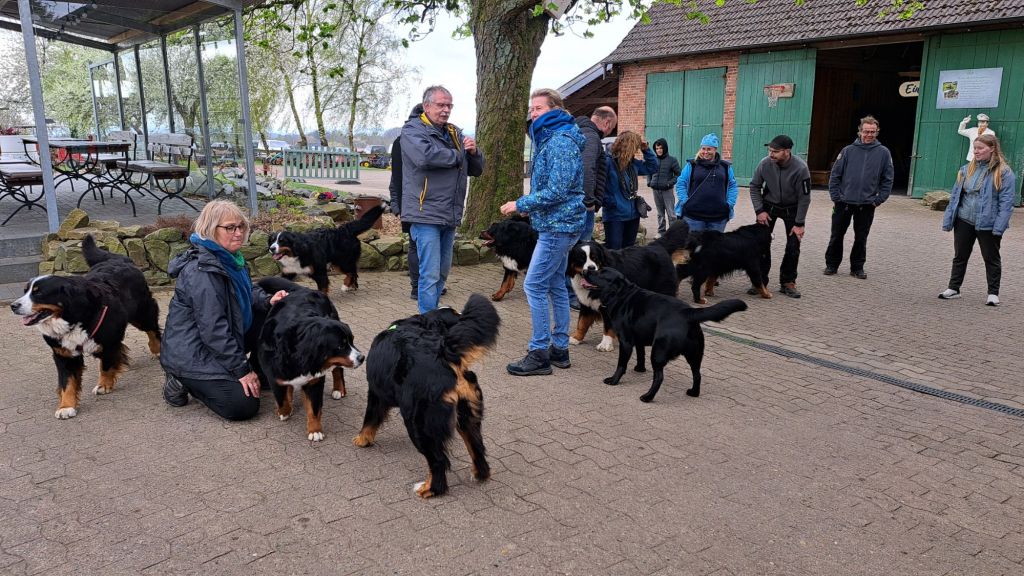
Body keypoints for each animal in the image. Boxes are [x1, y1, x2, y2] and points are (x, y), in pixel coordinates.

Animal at [10, 235, 161, 419]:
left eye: (38, 293)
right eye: (25, 291)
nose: (13, 306)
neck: (71, 317)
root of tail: (120, 259)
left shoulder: (108, 342)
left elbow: (106, 365)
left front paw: (104, 385)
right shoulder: (64, 354)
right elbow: (67, 382)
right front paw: (66, 406)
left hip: (142, 313)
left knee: (152, 330)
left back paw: (157, 350)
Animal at [254, 277, 364, 441]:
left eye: (351, 340)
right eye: (340, 346)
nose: (362, 357)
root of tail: (303, 289)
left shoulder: (315, 380)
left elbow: (314, 408)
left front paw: (315, 430)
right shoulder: (274, 375)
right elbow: (282, 399)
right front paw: (285, 411)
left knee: (337, 370)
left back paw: (338, 389)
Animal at [353, 294, 500, 498]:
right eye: (457, 316)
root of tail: (443, 354)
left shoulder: (376, 393)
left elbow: (370, 419)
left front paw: (362, 440)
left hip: (419, 422)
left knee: (438, 460)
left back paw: (430, 489)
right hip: (467, 414)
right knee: (477, 446)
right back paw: (480, 474)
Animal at [567, 219, 690, 351]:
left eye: (595, 258)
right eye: (581, 259)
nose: (591, 268)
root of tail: (657, 246)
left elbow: (607, 326)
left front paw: (605, 344)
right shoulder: (586, 302)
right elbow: (582, 322)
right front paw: (576, 338)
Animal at [582, 267, 747, 402]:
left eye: (601, 273)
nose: (584, 270)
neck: (621, 295)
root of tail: (688, 312)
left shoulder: (626, 342)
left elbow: (621, 365)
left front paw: (614, 380)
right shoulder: (639, 339)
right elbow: (640, 355)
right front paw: (640, 369)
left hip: (658, 351)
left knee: (659, 377)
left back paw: (647, 397)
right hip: (695, 354)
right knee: (697, 374)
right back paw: (693, 393)